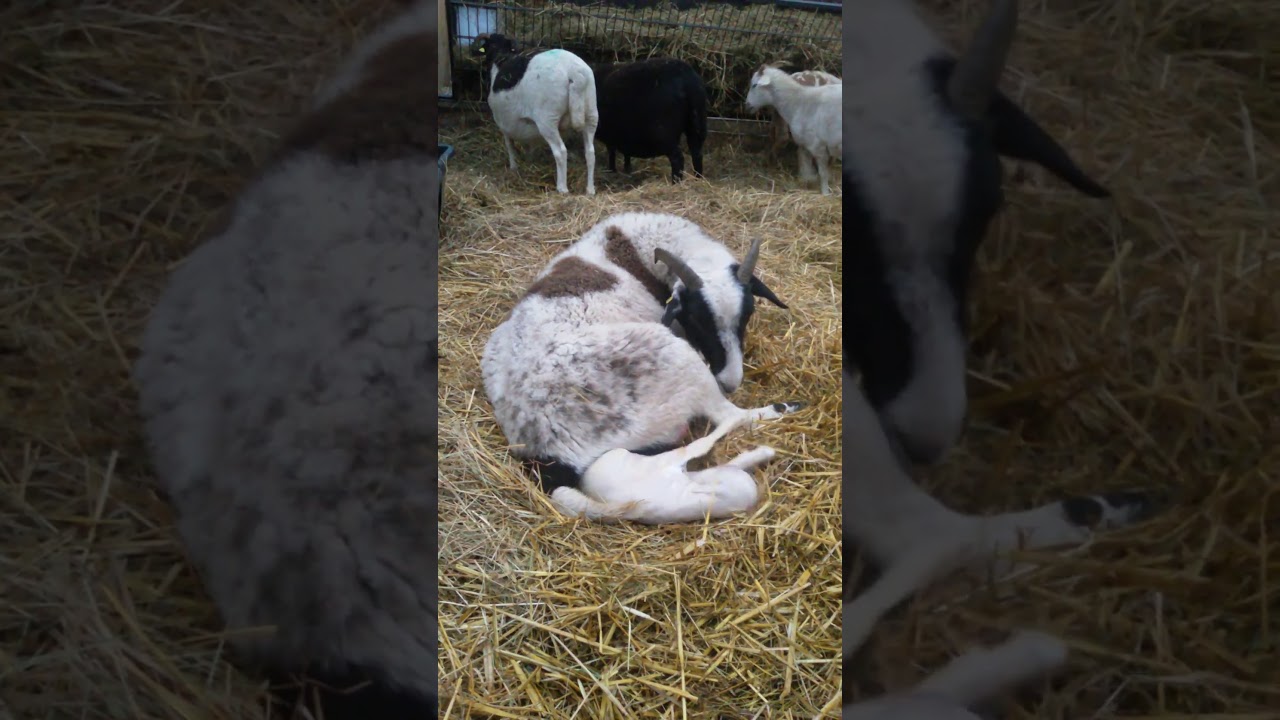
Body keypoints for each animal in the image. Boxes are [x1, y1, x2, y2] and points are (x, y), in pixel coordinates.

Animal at [471, 33, 599, 195]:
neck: (500, 57)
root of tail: (575, 74)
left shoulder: (503, 124)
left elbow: (510, 146)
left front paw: (513, 167)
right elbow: (529, 145)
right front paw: (529, 159)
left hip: (547, 119)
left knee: (561, 151)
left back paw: (562, 188)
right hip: (591, 113)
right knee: (590, 152)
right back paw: (590, 189)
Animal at [480, 212, 801, 524]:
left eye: (747, 315)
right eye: (696, 321)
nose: (730, 381)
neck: (636, 244)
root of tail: (546, 456)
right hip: (676, 360)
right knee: (732, 416)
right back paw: (784, 408)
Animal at [745, 65, 842, 195]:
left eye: (754, 85)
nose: (747, 105)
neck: (798, 103)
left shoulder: (818, 146)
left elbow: (823, 174)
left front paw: (825, 194)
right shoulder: (807, 145)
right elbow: (807, 168)